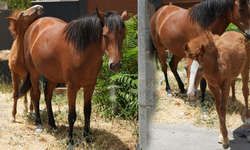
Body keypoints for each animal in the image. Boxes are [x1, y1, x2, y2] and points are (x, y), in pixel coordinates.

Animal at [14, 8, 127, 145]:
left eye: (123, 36)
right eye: (105, 35)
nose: (115, 65)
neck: (82, 52)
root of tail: (34, 24)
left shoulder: (90, 86)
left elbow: (87, 111)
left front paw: (87, 138)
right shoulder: (71, 87)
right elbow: (72, 115)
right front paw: (70, 140)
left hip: (53, 76)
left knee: (47, 95)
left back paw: (53, 124)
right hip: (34, 72)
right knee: (36, 95)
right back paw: (39, 125)